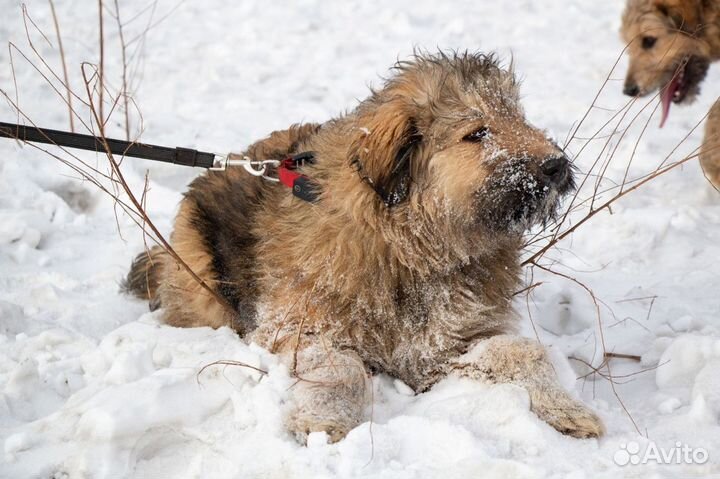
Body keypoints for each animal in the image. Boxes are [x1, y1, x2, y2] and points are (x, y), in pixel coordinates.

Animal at [126, 51, 604, 442]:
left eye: (517, 118)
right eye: (476, 132)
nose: (557, 165)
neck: (414, 249)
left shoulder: (441, 343)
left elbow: (520, 351)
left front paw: (567, 408)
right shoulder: (296, 324)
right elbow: (343, 368)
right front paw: (324, 420)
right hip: (203, 282)